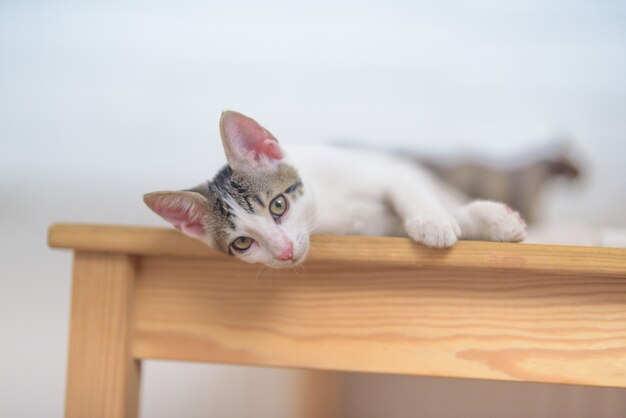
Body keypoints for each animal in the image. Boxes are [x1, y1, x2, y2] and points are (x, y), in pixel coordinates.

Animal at [144, 111, 524, 268]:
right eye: (242, 243)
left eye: (278, 205)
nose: (284, 253)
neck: (325, 207)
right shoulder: (378, 230)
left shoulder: (388, 172)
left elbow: (406, 190)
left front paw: (436, 222)